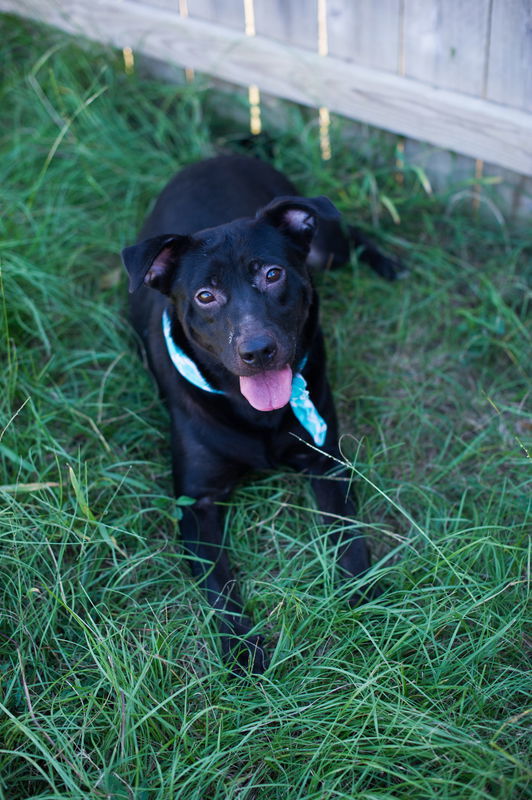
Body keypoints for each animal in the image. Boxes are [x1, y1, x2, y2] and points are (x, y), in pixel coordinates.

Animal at [122, 155, 402, 668]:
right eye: (205, 295)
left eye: (272, 274)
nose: (258, 351)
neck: (253, 412)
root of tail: (220, 154)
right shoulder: (196, 503)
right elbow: (220, 585)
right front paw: (243, 653)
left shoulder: (327, 465)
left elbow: (350, 540)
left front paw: (363, 605)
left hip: (324, 249)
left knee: (350, 235)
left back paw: (389, 264)